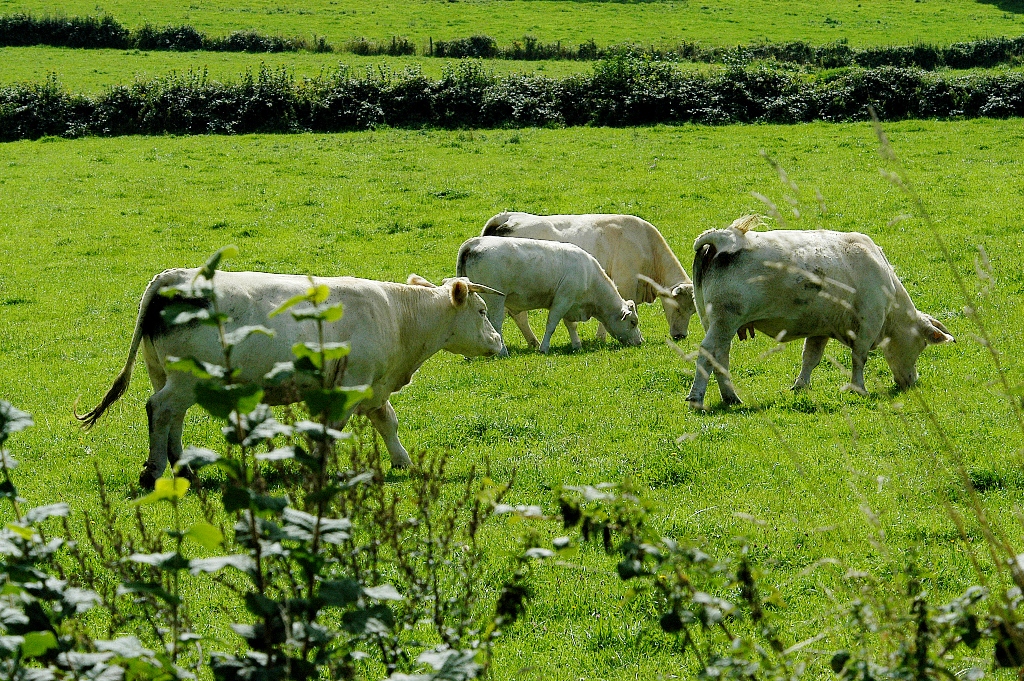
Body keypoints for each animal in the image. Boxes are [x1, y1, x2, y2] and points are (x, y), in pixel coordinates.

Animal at [75, 268, 503, 485]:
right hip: (182, 382)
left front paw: (403, 462)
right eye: (482, 311)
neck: (399, 316)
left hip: (165, 375)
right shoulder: (350, 386)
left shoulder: (371, 387)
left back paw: (185, 469)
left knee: (171, 419)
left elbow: (387, 422)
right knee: (161, 411)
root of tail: (171, 278)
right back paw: (154, 472)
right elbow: (331, 431)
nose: (499, 342)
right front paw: (318, 469)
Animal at [456, 235, 638, 356]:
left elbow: (570, 325)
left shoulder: (569, 303)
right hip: (495, 300)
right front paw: (544, 348)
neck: (590, 276)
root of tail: (474, 243)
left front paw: (576, 345)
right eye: (633, 322)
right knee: (496, 324)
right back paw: (503, 352)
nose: (640, 342)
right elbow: (551, 325)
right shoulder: (562, 300)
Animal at [485, 210, 696, 342]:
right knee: (518, 315)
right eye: (678, 308)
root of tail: (506, 218)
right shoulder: (624, 283)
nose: (681, 336)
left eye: (693, 311)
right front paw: (601, 338)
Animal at [684, 216, 954, 409]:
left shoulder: (820, 329)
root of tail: (725, 237)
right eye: (922, 344)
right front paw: (858, 388)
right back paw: (696, 399)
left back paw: (731, 397)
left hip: (715, 321)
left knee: (720, 357)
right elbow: (859, 358)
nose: (912, 382)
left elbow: (810, 358)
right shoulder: (868, 324)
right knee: (707, 353)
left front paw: (800, 386)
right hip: (724, 321)